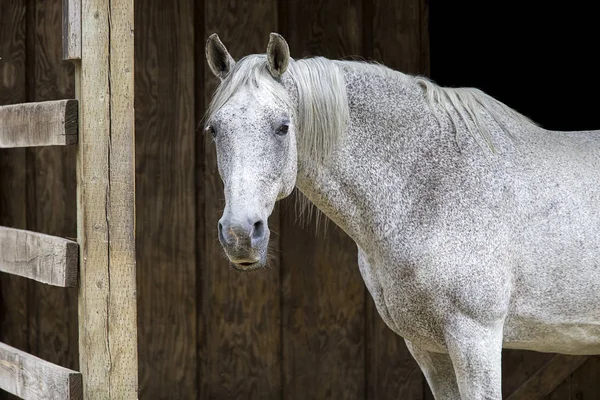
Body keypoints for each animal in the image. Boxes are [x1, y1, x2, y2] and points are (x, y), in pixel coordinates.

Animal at [203, 32, 600, 398]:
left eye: (283, 126)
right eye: (215, 129)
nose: (240, 235)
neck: (434, 185)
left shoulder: (476, 337)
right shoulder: (428, 348)